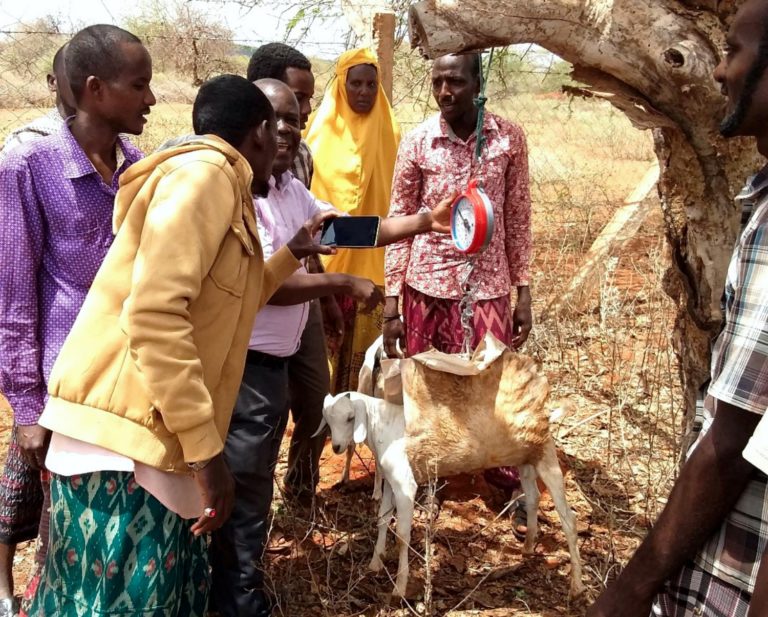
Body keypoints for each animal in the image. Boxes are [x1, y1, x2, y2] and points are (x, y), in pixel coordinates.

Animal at [316, 348, 584, 600]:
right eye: (327, 417)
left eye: (351, 417)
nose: (337, 447)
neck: (384, 425)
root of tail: (545, 414)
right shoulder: (392, 483)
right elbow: (382, 519)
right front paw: (375, 563)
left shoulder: (406, 485)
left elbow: (402, 535)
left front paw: (399, 588)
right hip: (525, 460)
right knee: (533, 496)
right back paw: (528, 547)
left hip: (546, 457)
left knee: (568, 519)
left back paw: (577, 587)